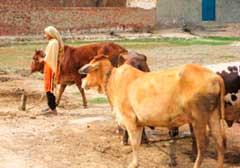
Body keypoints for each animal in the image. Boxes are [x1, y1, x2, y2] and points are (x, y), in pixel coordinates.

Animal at [79, 55, 226, 168]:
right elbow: (137, 142)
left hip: (198, 118)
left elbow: (134, 144)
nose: (83, 82)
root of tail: (215, 77)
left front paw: (134, 164)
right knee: (219, 141)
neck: (112, 80)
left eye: (89, 71)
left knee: (203, 143)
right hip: (213, 115)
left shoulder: (129, 120)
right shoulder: (138, 123)